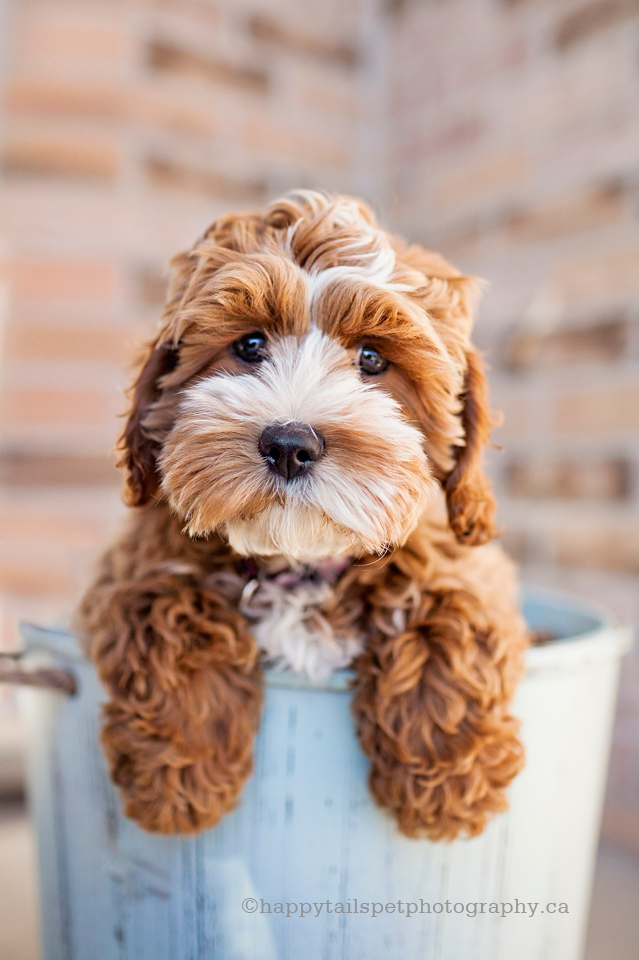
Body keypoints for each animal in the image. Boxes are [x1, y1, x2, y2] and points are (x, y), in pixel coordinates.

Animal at [77, 191, 528, 844]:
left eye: (372, 358)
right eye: (248, 346)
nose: (290, 443)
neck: (299, 562)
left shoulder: (464, 562)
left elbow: (455, 612)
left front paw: (445, 785)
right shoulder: (128, 568)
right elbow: (163, 602)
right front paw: (182, 778)